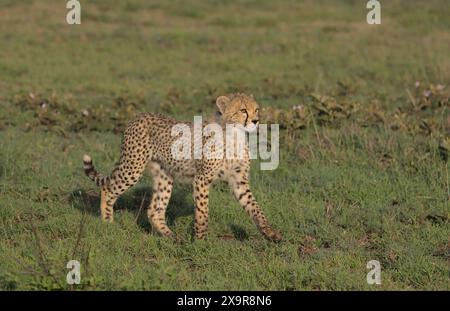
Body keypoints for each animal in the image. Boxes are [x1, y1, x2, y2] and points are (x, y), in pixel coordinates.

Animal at [83, 94, 282, 243]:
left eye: (256, 109)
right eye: (243, 110)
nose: (256, 121)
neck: (235, 136)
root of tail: (138, 116)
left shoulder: (239, 180)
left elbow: (255, 207)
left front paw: (270, 233)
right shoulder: (202, 179)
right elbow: (202, 212)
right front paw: (200, 242)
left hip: (164, 176)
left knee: (154, 210)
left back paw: (171, 236)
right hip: (133, 167)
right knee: (108, 189)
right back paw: (108, 223)